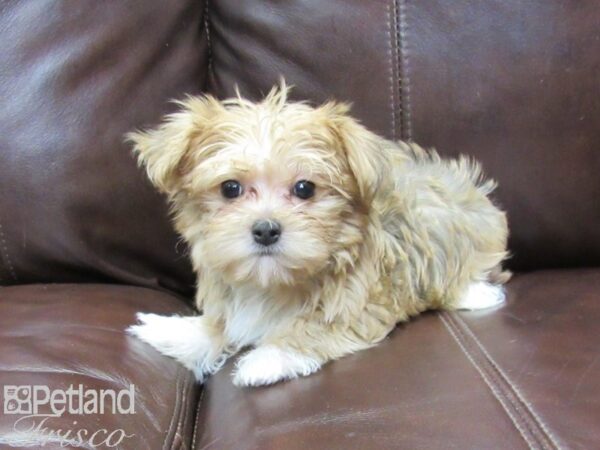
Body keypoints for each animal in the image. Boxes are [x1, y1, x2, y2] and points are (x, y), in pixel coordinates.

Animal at [127, 84, 510, 386]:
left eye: (304, 188)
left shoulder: (362, 303)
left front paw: (268, 358)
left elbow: (314, 328)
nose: (266, 229)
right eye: (230, 188)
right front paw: (173, 331)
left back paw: (477, 293)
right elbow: (218, 326)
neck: (273, 283)